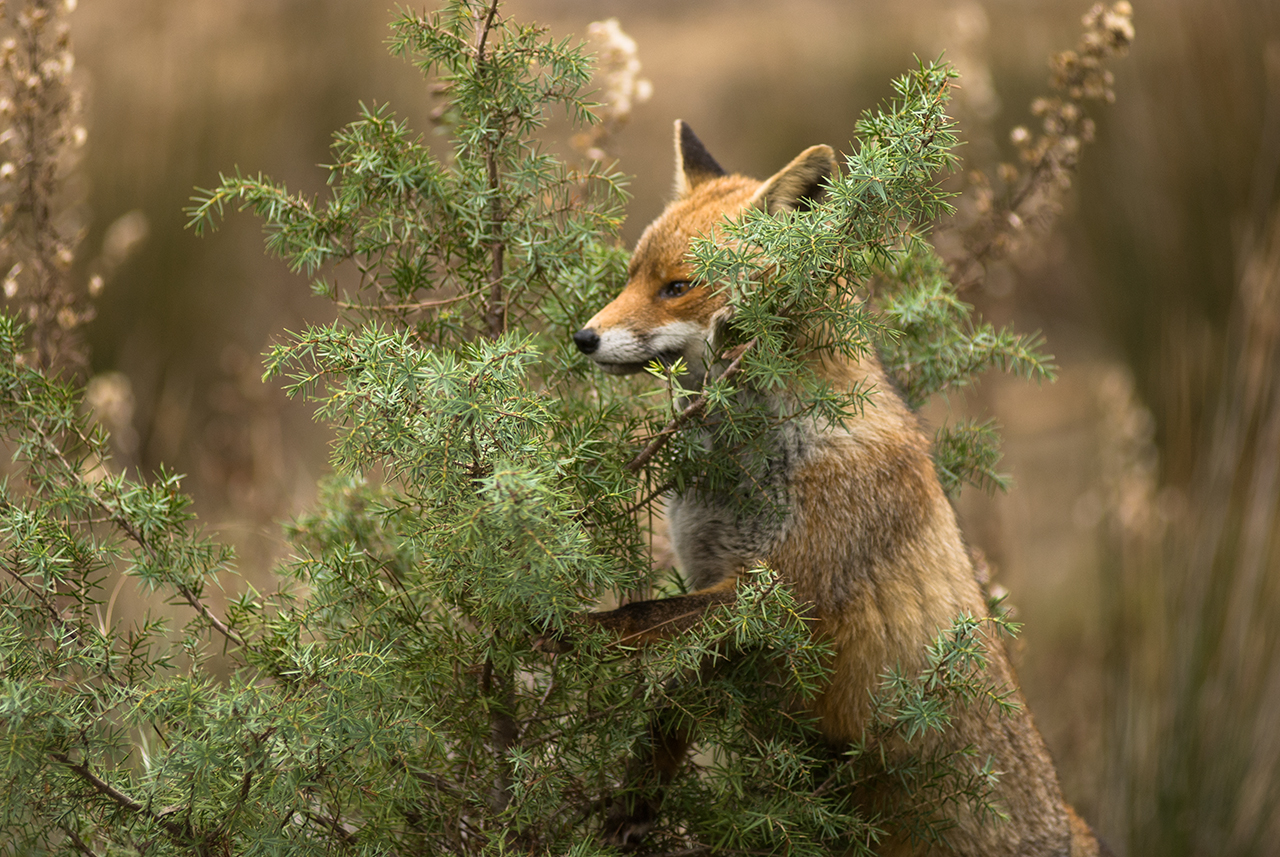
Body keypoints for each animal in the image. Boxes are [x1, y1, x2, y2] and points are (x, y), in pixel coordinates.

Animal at [569, 121, 1108, 857]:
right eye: (631, 276)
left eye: (679, 286)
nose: (583, 337)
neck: (753, 459)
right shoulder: (714, 591)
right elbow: (668, 713)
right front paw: (634, 805)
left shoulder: (782, 588)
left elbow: (634, 618)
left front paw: (553, 635)